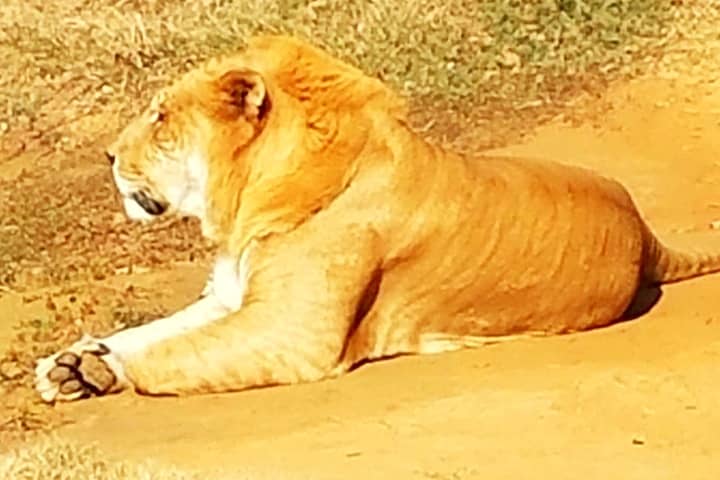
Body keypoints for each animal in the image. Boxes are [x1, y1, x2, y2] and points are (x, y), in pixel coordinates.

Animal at [33, 34, 720, 402]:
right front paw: (71, 361)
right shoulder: (231, 297)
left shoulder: (289, 334)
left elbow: (171, 353)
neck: (252, 197)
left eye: (161, 118)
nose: (107, 154)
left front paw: (98, 371)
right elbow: (154, 329)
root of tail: (644, 230)